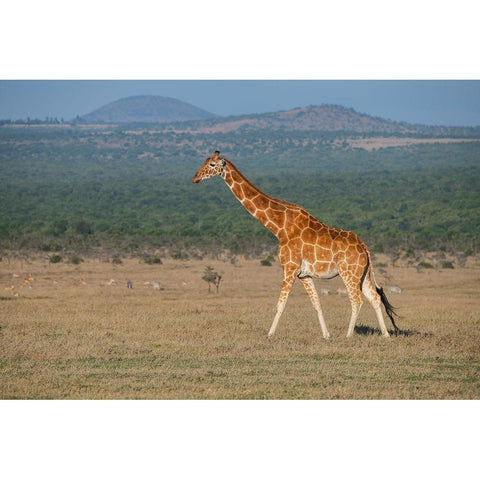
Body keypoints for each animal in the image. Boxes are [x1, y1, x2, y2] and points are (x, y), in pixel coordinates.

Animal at [193, 150, 400, 338]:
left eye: (212, 164)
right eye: (204, 161)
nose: (195, 178)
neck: (279, 227)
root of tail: (365, 247)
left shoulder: (289, 267)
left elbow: (280, 304)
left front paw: (270, 334)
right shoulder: (304, 275)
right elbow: (317, 304)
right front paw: (326, 335)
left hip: (348, 272)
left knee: (357, 300)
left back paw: (349, 335)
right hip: (362, 274)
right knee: (374, 297)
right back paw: (385, 334)